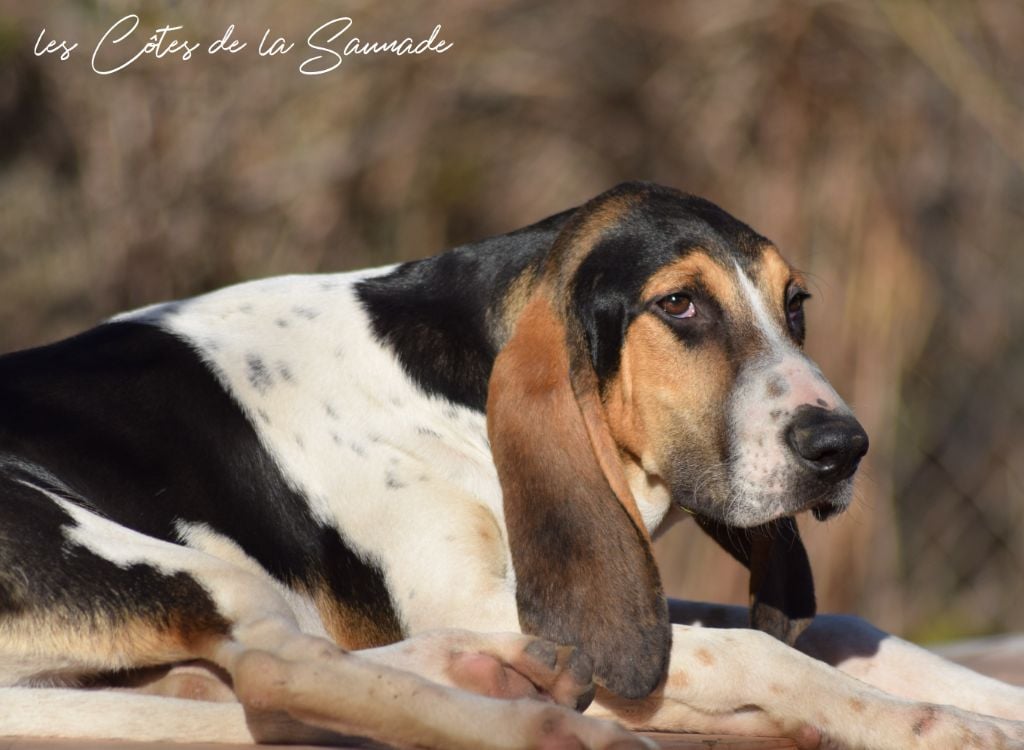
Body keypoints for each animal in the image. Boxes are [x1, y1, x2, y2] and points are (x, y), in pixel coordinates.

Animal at [0, 183, 1019, 750]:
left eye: (796, 304)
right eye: (680, 305)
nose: (842, 447)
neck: (445, 389)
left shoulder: (585, 596)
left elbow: (837, 628)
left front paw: (987, 702)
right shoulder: (509, 602)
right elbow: (762, 651)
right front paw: (935, 726)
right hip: (169, 561)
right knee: (280, 677)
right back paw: (544, 721)